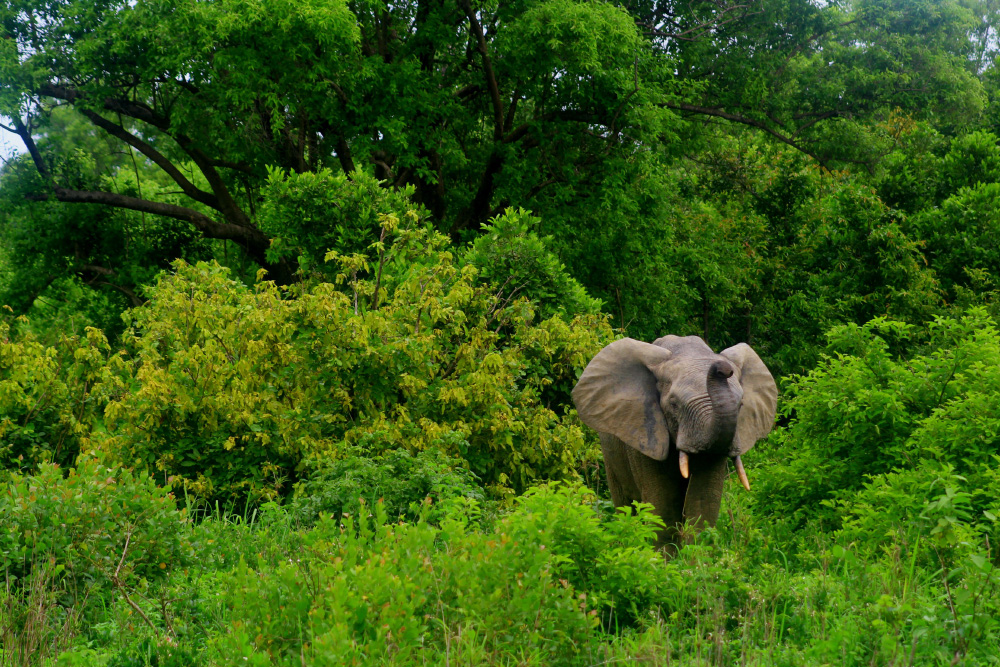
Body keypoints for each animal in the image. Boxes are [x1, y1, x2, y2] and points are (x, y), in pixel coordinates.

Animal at [572, 336, 780, 552]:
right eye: (674, 404)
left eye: (741, 405)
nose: (723, 369)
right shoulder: (647, 435)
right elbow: (663, 504)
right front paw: (663, 559)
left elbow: (703, 501)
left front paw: (697, 559)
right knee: (625, 505)